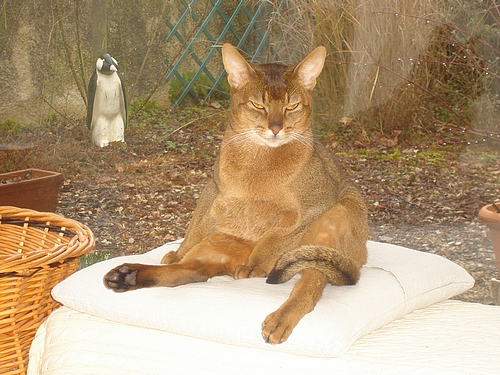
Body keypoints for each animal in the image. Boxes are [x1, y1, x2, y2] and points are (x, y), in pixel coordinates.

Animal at [103, 42, 370, 346]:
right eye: (258, 105)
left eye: (291, 106)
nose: (275, 128)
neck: (258, 159)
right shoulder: (213, 192)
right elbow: (193, 228)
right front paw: (177, 253)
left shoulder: (318, 205)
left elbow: (277, 236)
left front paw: (258, 263)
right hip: (215, 243)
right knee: (188, 272)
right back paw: (129, 275)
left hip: (338, 216)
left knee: (311, 284)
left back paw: (279, 319)